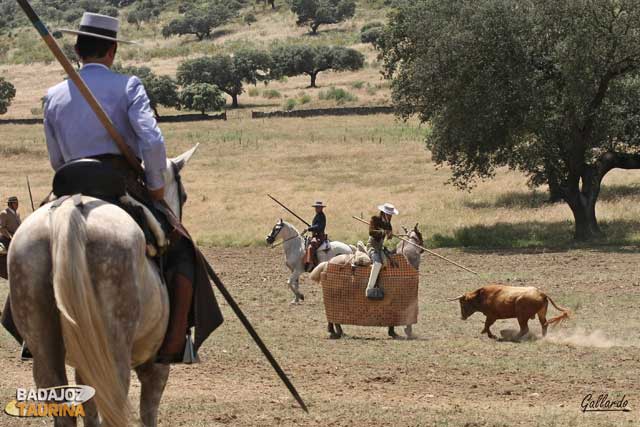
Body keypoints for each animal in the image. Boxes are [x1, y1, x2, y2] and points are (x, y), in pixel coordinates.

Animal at [7, 147, 198, 427]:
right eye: (183, 195)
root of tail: (70, 210)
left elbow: (88, 407)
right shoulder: (155, 366)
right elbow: (148, 412)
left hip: (42, 336)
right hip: (114, 350)